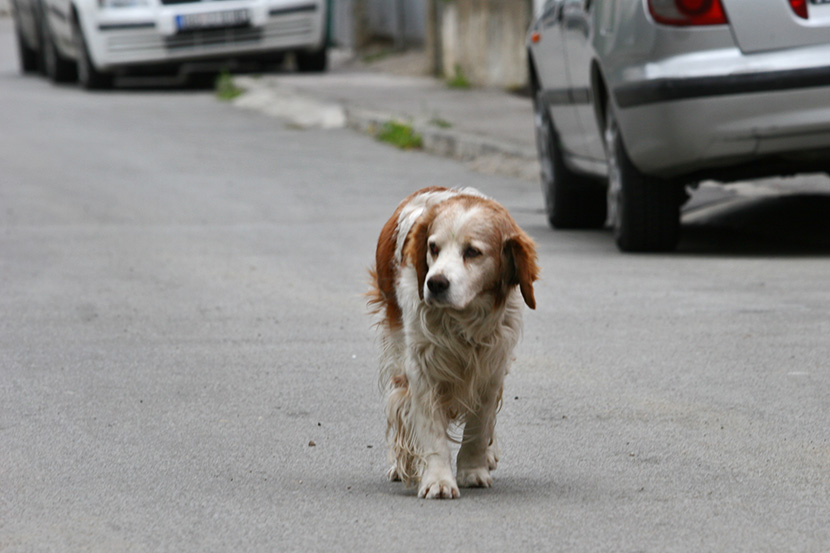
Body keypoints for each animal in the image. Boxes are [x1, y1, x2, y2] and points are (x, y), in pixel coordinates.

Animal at [368, 188, 540, 498]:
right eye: (433, 248)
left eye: (472, 252)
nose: (435, 283)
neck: (463, 321)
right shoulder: (420, 367)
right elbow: (430, 429)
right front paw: (437, 479)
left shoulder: (492, 366)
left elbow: (479, 425)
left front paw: (473, 470)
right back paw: (402, 466)